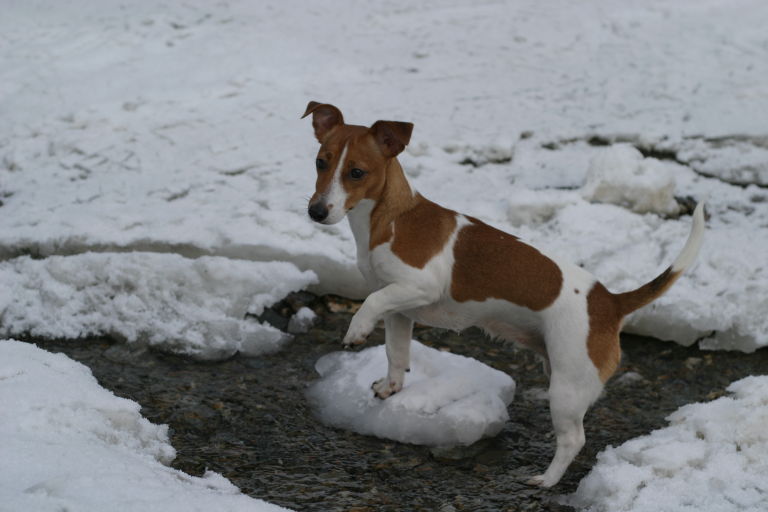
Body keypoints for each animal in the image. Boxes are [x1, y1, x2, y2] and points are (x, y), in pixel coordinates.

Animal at [300, 101, 704, 488]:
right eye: (320, 162)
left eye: (357, 172)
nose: (316, 211)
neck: (390, 217)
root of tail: (611, 302)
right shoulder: (400, 309)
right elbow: (396, 353)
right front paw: (390, 387)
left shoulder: (419, 286)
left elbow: (370, 304)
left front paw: (356, 330)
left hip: (567, 388)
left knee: (574, 439)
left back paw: (547, 479)